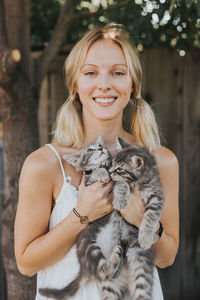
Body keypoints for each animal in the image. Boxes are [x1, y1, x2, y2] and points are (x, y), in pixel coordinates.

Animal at [39, 137, 164, 298]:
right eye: (89, 150)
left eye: (99, 145)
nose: (99, 147)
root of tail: (85, 268)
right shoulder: (88, 182)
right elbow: (110, 179)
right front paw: (101, 174)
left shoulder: (156, 195)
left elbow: (151, 215)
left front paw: (147, 236)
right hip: (88, 244)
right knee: (103, 271)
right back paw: (117, 254)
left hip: (140, 268)